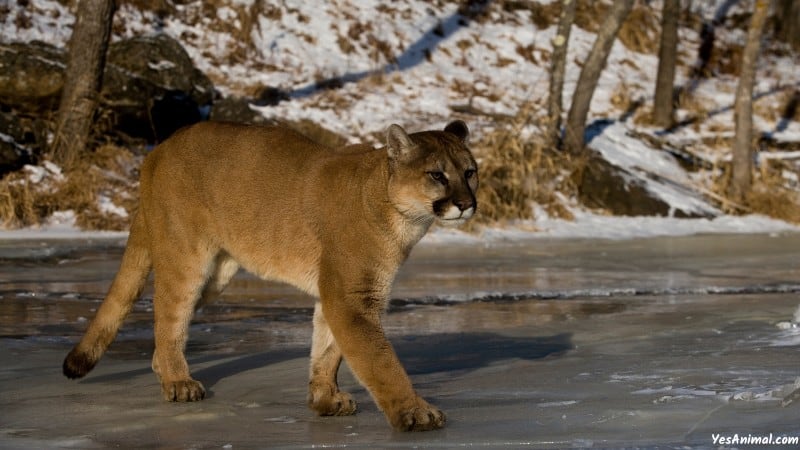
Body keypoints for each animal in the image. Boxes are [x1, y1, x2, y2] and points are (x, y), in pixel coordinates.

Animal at [64, 120, 476, 432]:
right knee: (168, 313)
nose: (467, 204)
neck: (399, 214)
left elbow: (328, 349)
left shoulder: (339, 296)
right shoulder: (351, 298)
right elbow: (380, 361)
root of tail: (159, 148)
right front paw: (415, 412)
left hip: (217, 274)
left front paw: (324, 398)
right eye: (437, 175)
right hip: (187, 259)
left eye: (469, 172)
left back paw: (165, 371)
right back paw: (179, 382)